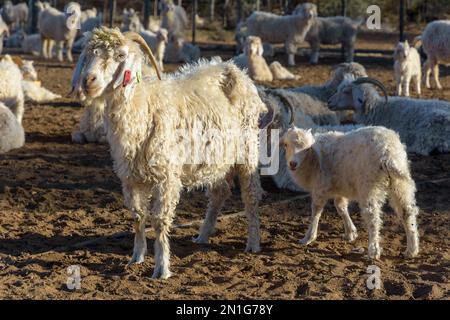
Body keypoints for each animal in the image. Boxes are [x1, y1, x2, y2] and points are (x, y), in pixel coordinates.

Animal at [71, 26, 264, 278]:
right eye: (87, 55)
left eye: (120, 56)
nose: (89, 80)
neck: (144, 106)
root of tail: (234, 69)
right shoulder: (130, 178)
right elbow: (138, 216)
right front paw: (136, 257)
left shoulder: (167, 177)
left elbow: (160, 220)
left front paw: (162, 268)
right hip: (218, 158)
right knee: (219, 192)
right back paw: (203, 235)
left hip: (248, 148)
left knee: (251, 195)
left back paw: (253, 243)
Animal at [284, 125, 420, 260]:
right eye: (286, 145)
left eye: (306, 149)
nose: (292, 164)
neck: (312, 160)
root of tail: (387, 151)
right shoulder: (339, 187)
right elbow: (341, 207)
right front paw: (351, 233)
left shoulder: (320, 187)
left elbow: (316, 212)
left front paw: (308, 237)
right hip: (400, 184)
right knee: (407, 212)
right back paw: (412, 249)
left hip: (368, 185)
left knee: (373, 218)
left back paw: (373, 251)